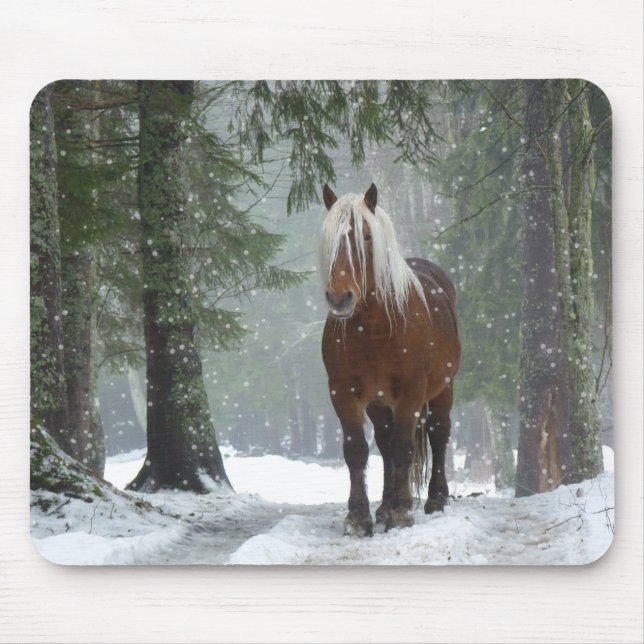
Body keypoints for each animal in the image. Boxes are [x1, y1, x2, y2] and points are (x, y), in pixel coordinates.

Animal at [319, 183, 461, 536]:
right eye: (329, 239)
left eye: (367, 237)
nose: (340, 297)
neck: (373, 327)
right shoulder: (343, 392)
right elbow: (357, 450)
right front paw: (359, 517)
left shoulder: (412, 390)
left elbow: (403, 447)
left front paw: (402, 512)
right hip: (379, 402)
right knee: (384, 445)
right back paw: (383, 506)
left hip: (443, 389)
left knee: (438, 434)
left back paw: (435, 499)